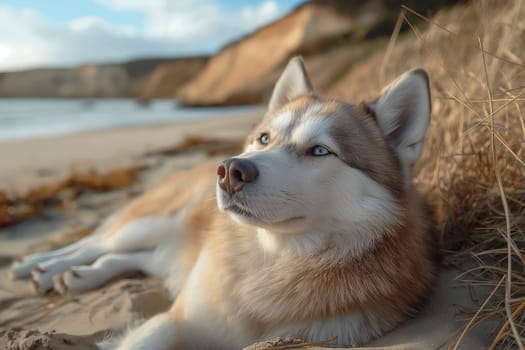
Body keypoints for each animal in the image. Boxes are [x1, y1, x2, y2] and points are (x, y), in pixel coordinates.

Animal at [13, 56, 438, 348]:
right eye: (264, 138)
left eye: (320, 151)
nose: (231, 169)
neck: (274, 259)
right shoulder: (175, 319)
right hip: (153, 221)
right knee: (95, 241)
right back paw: (40, 266)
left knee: (131, 257)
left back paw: (79, 276)